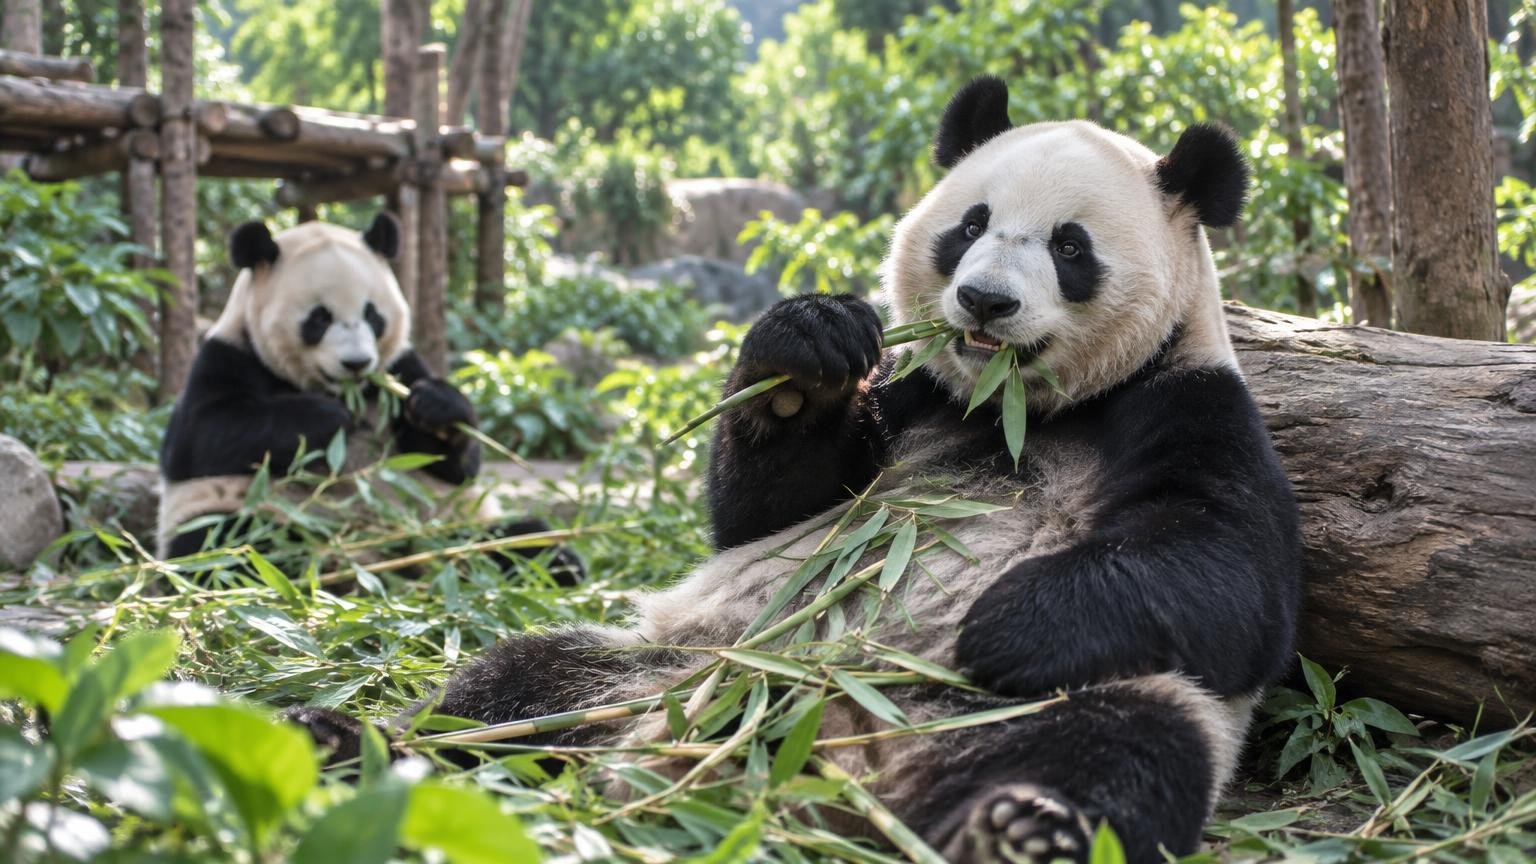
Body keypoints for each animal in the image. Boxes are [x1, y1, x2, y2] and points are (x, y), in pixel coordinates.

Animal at [157, 212, 577, 580]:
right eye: (319, 318)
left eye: (373, 314)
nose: (357, 363)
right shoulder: (229, 355)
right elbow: (199, 439)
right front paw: (330, 416)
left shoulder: (400, 365)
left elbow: (457, 465)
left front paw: (436, 408)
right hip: (246, 512)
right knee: (223, 546)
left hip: (454, 521)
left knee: (521, 539)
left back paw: (559, 564)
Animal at [292, 78, 1301, 863]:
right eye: (970, 224)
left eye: (1068, 246)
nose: (982, 300)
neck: (1020, 411)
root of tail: (813, 753)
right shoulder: (917, 395)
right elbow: (767, 511)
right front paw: (803, 356)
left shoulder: (1187, 401)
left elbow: (1230, 578)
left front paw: (1003, 621)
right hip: (678, 658)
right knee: (509, 687)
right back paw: (349, 744)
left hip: (1035, 709)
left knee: (1119, 755)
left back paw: (1011, 832)